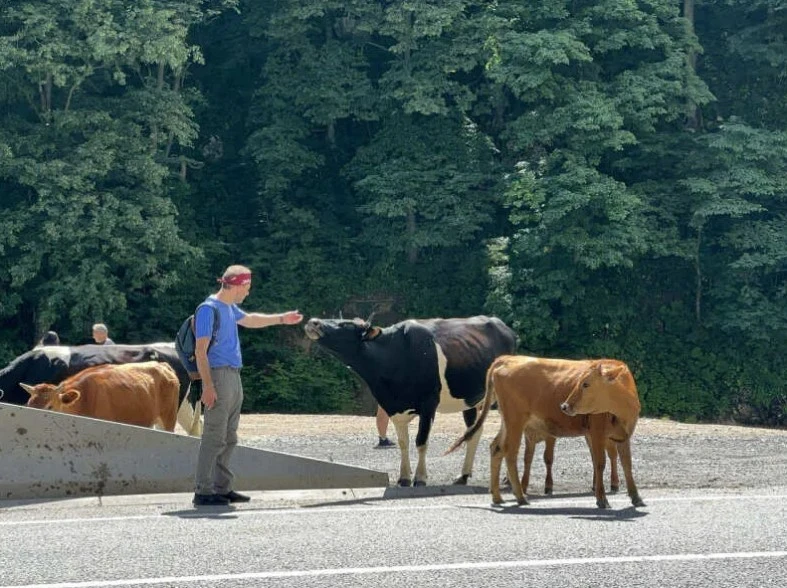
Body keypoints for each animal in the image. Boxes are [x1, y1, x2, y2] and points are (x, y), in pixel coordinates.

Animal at [305, 315, 517, 487]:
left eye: (345, 324)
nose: (313, 321)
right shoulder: (394, 408)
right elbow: (403, 443)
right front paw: (404, 478)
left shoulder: (428, 403)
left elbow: (421, 441)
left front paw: (420, 478)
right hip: (469, 400)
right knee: (473, 432)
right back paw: (463, 476)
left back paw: (507, 479)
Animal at [447, 355, 645, 509]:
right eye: (579, 382)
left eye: (586, 384)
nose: (564, 406)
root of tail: (506, 359)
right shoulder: (596, 433)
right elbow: (600, 463)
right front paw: (601, 499)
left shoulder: (623, 436)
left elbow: (627, 464)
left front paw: (636, 497)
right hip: (515, 421)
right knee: (510, 453)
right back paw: (520, 496)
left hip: (507, 422)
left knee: (496, 449)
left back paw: (497, 497)